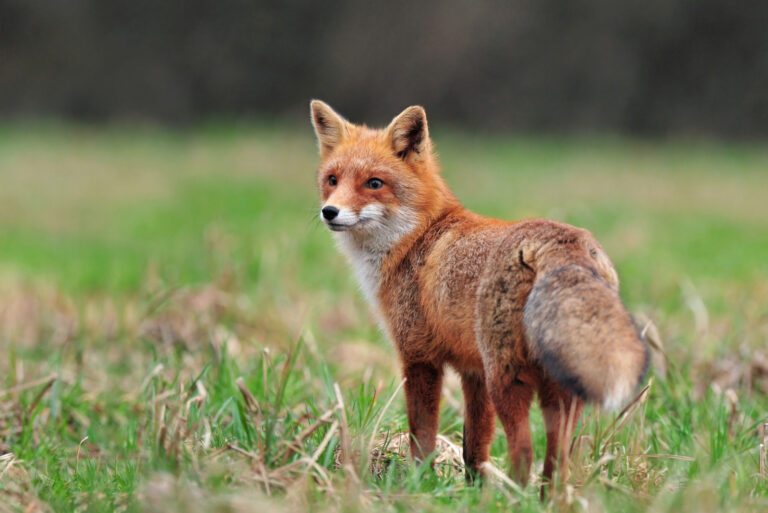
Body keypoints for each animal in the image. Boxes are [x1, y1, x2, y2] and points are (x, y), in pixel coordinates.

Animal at [310, 100, 649, 488]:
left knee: (524, 451)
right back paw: (546, 496)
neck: (417, 238)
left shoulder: (420, 357)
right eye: (332, 180)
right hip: (556, 389)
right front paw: (472, 488)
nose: (330, 212)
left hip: (508, 379)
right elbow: (475, 445)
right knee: (557, 459)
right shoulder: (473, 371)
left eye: (374, 183)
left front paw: (419, 483)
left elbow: (422, 436)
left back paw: (515, 496)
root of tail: (561, 240)